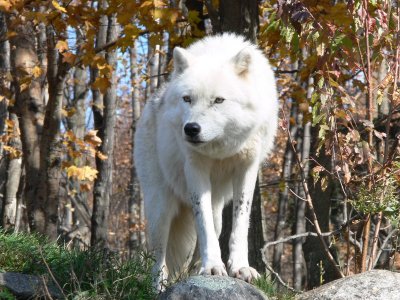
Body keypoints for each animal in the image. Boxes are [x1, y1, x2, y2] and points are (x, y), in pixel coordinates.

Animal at [134, 33, 278, 288]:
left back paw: (194, 273)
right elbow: (204, 225)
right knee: (158, 258)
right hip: (161, 209)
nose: (191, 129)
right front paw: (212, 267)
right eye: (187, 99)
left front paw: (239, 268)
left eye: (218, 100)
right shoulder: (194, 168)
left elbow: (240, 223)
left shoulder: (247, 168)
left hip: (217, 209)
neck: (219, 149)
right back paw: (158, 287)